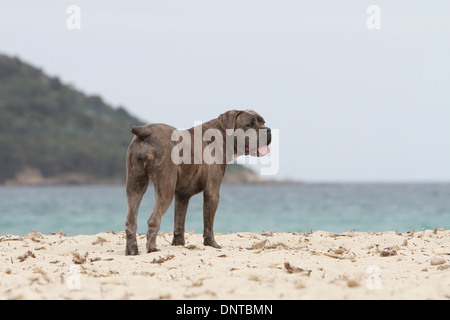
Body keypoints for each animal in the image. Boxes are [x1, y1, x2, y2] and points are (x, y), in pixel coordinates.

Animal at [124, 110, 270, 255]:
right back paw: (152, 249)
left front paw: (179, 243)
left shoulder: (182, 196)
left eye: (263, 122)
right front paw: (211, 244)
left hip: (135, 186)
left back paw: (132, 251)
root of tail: (145, 131)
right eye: (249, 124)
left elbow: (179, 221)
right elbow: (208, 223)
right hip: (165, 190)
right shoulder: (212, 192)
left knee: (131, 220)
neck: (221, 136)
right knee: (153, 220)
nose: (268, 130)